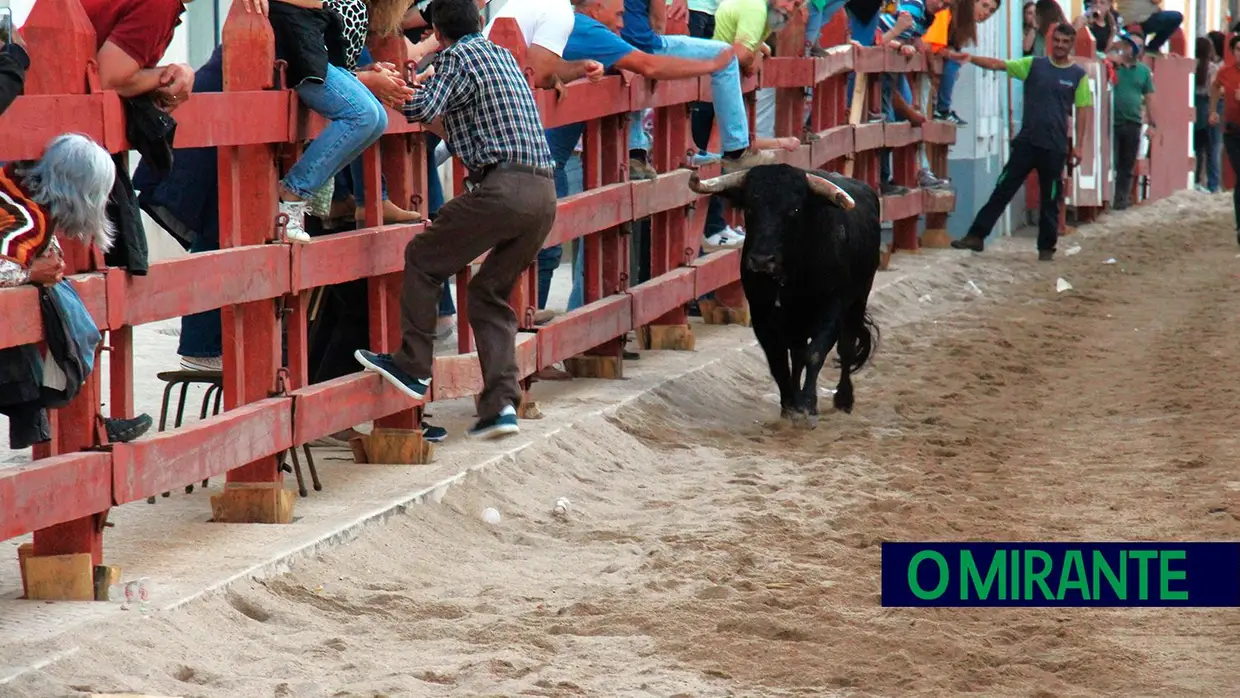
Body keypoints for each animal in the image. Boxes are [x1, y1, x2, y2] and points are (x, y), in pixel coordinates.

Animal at [689, 164, 882, 426]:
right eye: (750, 207)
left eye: (795, 209)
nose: (762, 260)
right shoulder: (762, 315)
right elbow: (779, 362)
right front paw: (790, 405)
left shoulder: (833, 307)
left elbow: (815, 354)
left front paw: (808, 405)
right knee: (798, 355)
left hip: (858, 300)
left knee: (845, 347)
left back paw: (844, 398)